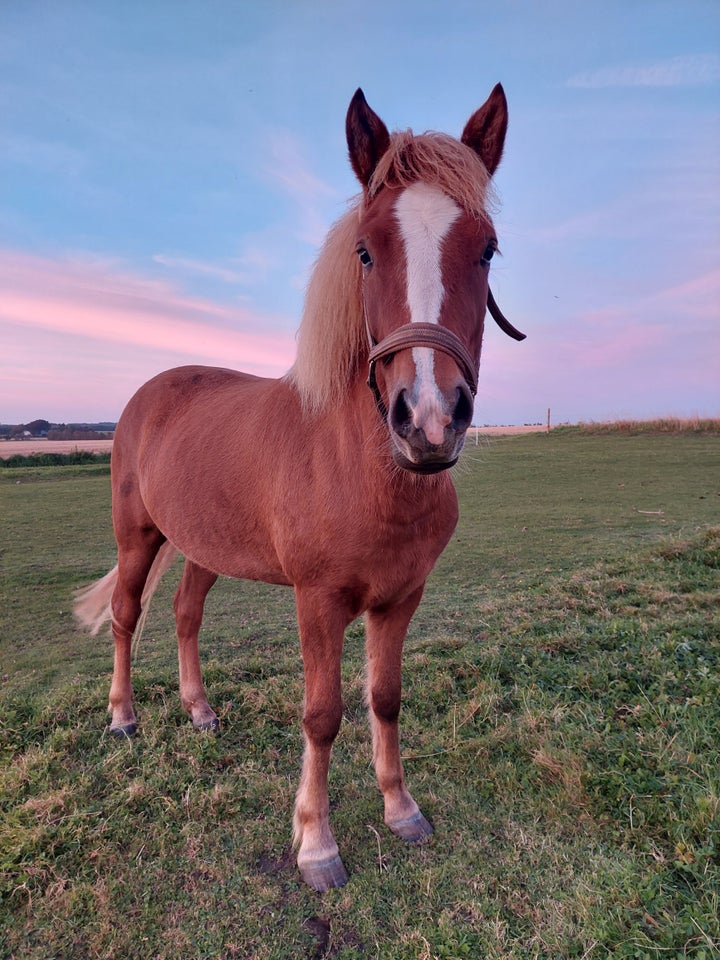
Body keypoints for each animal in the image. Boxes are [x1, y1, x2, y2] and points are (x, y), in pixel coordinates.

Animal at [74, 82, 524, 892]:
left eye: (487, 248)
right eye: (366, 250)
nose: (429, 420)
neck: (363, 471)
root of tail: (151, 392)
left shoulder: (401, 598)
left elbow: (385, 699)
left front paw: (401, 809)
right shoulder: (318, 602)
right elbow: (322, 714)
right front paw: (316, 844)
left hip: (204, 547)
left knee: (185, 615)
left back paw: (199, 710)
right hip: (138, 536)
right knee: (127, 615)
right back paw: (122, 716)